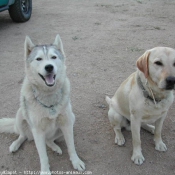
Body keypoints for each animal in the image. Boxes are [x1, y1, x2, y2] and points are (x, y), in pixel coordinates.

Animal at [0, 34, 85, 174]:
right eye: (39, 59)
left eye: (53, 57)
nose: (49, 67)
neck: (49, 97)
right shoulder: (38, 131)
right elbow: (43, 156)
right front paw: (45, 171)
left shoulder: (67, 123)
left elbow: (71, 147)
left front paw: (76, 162)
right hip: (20, 115)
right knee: (23, 135)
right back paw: (15, 144)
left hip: (71, 119)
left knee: (48, 140)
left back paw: (55, 147)